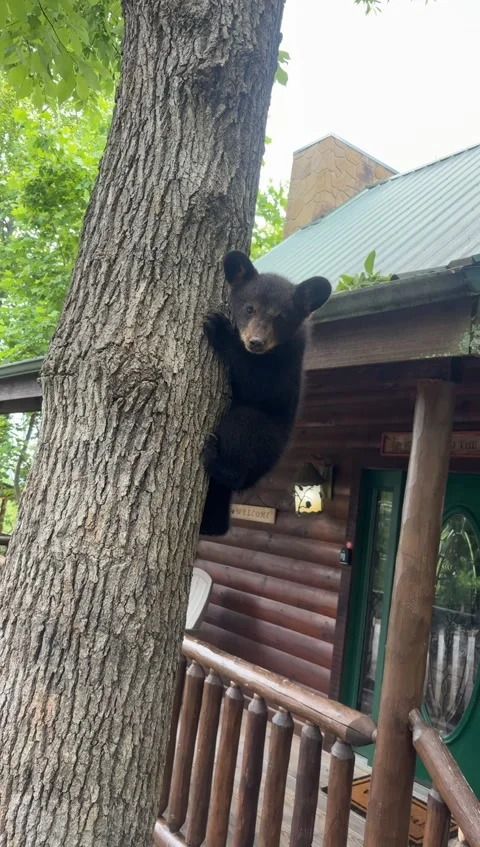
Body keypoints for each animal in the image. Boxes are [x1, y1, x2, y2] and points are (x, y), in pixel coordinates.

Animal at [200, 250, 331, 536]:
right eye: (249, 308)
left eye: (280, 317)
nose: (256, 342)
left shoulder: (286, 364)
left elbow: (259, 384)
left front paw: (219, 329)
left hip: (263, 440)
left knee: (243, 426)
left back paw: (215, 459)